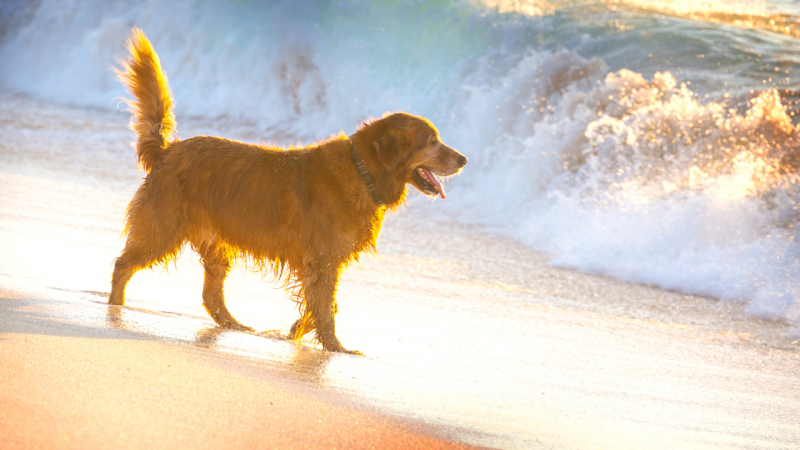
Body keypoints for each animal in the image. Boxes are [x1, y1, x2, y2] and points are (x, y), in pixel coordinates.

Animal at [109, 28, 466, 354]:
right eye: (432, 142)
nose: (464, 159)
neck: (362, 170)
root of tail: (168, 151)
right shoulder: (322, 260)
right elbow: (326, 308)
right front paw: (335, 347)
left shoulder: (321, 263)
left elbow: (323, 305)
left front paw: (298, 330)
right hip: (162, 230)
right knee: (123, 265)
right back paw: (115, 307)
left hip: (216, 244)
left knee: (211, 296)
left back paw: (235, 325)